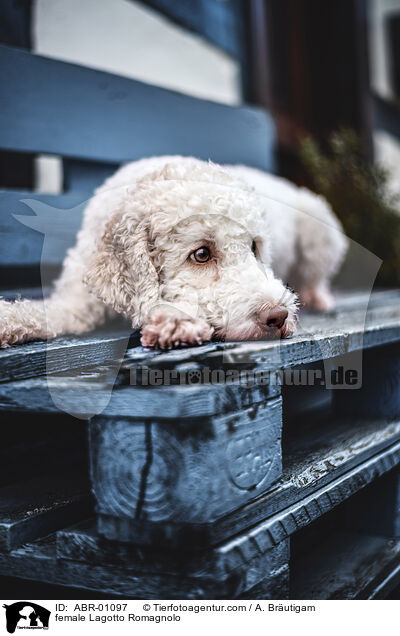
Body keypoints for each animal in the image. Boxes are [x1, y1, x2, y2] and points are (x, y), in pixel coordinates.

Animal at [0, 157, 346, 350]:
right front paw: (8, 319)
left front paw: (177, 322)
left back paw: (319, 297)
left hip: (321, 224)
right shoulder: (76, 300)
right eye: (201, 254)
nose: (278, 316)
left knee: (317, 276)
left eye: (254, 246)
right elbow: (45, 312)